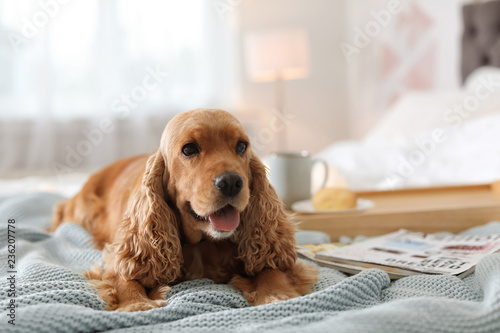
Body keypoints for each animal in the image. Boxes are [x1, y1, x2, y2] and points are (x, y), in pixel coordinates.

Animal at [49, 109, 316, 312]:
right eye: (189, 149)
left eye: (241, 146)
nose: (231, 182)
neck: (202, 244)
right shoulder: (119, 254)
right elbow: (124, 277)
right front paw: (135, 303)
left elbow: (272, 268)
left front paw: (277, 293)